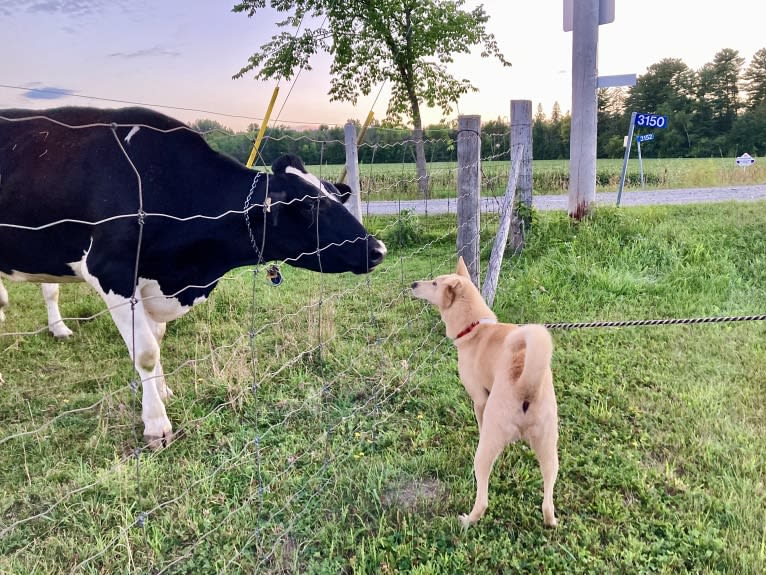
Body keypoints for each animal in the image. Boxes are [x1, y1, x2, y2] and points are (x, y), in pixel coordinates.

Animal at [0, 108, 384, 450]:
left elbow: (156, 338)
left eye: (334, 197)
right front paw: (156, 424)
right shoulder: (111, 271)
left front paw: (162, 390)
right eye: (308, 206)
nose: (377, 249)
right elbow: (145, 353)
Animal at [414, 258, 560, 528]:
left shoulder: (479, 399)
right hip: (549, 448)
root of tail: (526, 385)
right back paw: (551, 521)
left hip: (485, 453)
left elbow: (479, 421)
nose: (413, 284)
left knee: (482, 499)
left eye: (435, 283)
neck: (475, 329)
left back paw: (467, 520)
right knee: (547, 499)